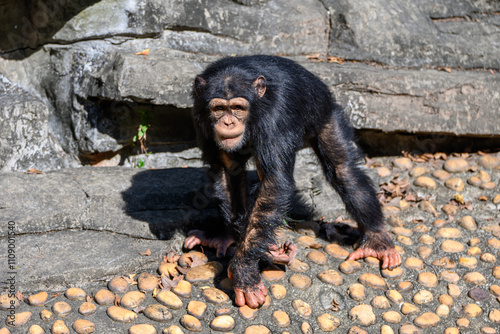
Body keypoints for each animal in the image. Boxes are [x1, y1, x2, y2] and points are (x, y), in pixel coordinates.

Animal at [185, 54, 402, 308]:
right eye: (219, 108)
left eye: (237, 108)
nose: (228, 122)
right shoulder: (199, 115)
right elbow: (228, 170)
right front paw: (232, 240)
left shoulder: (275, 117)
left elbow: (274, 182)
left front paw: (244, 272)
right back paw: (241, 241)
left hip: (327, 115)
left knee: (344, 169)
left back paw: (377, 239)